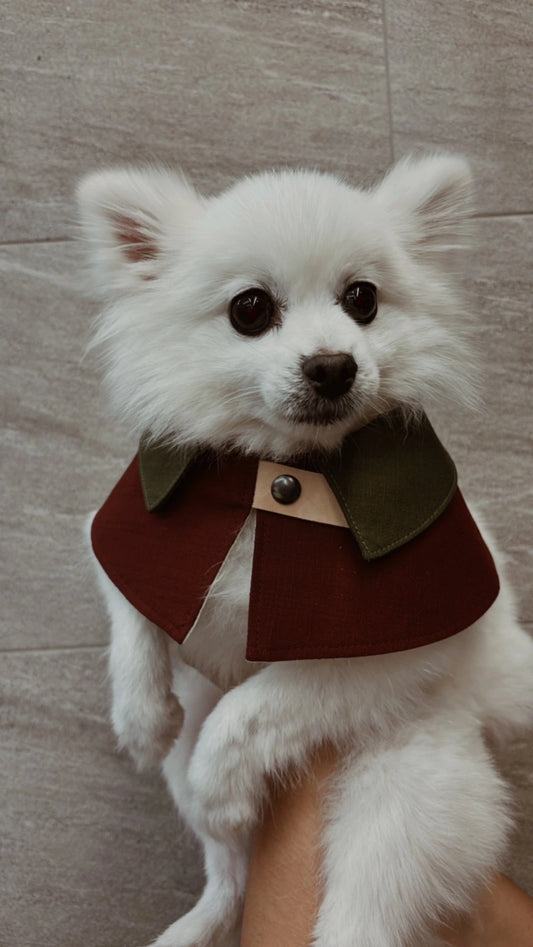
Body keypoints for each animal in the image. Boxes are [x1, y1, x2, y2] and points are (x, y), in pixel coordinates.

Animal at [78, 157, 532, 947]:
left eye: (363, 299)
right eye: (250, 309)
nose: (332, 366)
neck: (284, 474)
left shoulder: (382, 654)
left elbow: (259, 704)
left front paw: (220, 783)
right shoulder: (129, 532)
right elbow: (132, 618)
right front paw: (139, 717)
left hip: (400, 800)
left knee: (359, 912)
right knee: (228, 870)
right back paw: (195, 922)